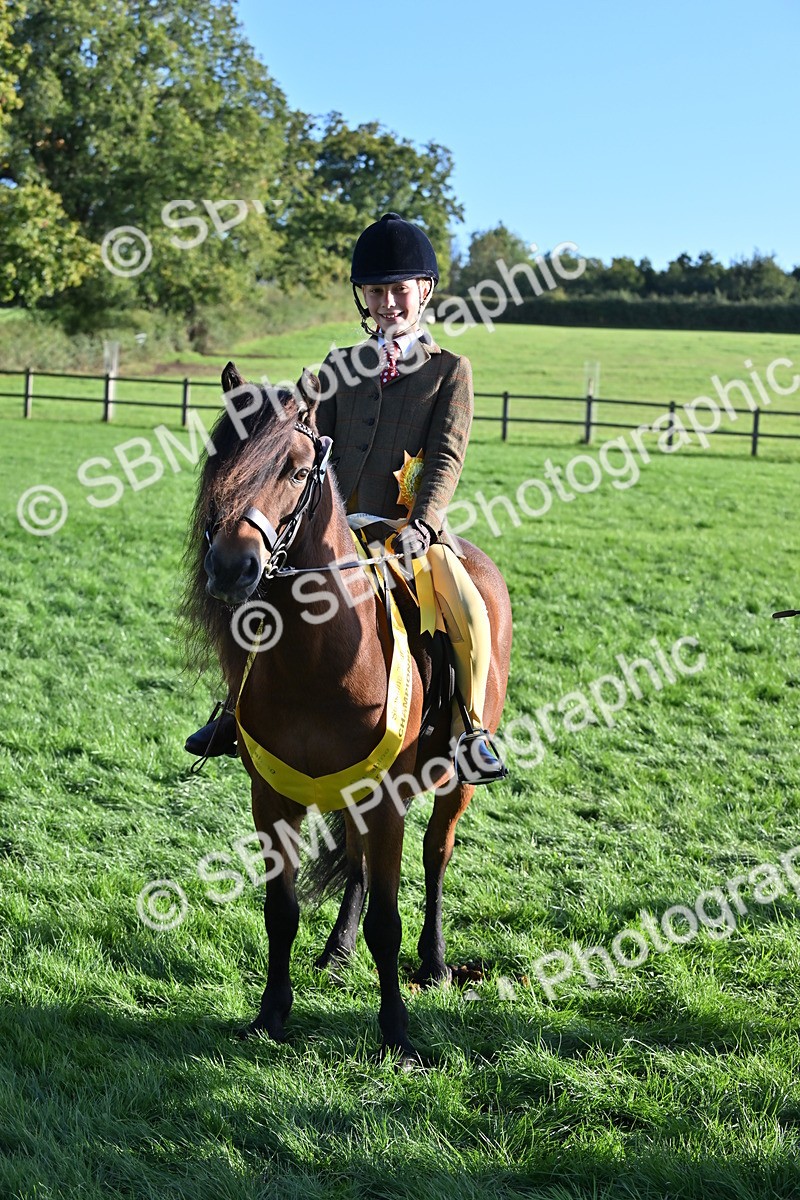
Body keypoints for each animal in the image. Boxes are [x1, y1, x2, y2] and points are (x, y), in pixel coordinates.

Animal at [182, 362, 512, 1065]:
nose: (230, 567)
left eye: (295, 469)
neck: (318, 657)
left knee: (436, 854)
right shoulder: (272, 798)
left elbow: (389, 920)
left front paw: (397, 1034)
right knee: (358, 864)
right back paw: (336, 951)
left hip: (453, 783)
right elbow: (280, 911)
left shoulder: (387, 797)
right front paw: (270, 1015)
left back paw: (434, 963)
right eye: (219, 458)